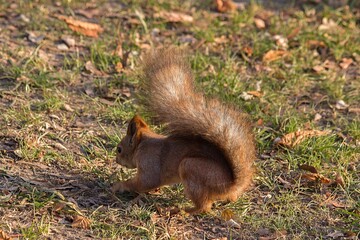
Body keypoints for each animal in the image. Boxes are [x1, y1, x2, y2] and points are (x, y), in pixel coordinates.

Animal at [111, 47, 255, 213]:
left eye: (119, 149)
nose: (116, 160)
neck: (142, 145)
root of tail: (230, 185)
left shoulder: (149, 164)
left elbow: (145, 182)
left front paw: (120, 185)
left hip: (191, 168)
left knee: (204, 207)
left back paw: (181, 210)